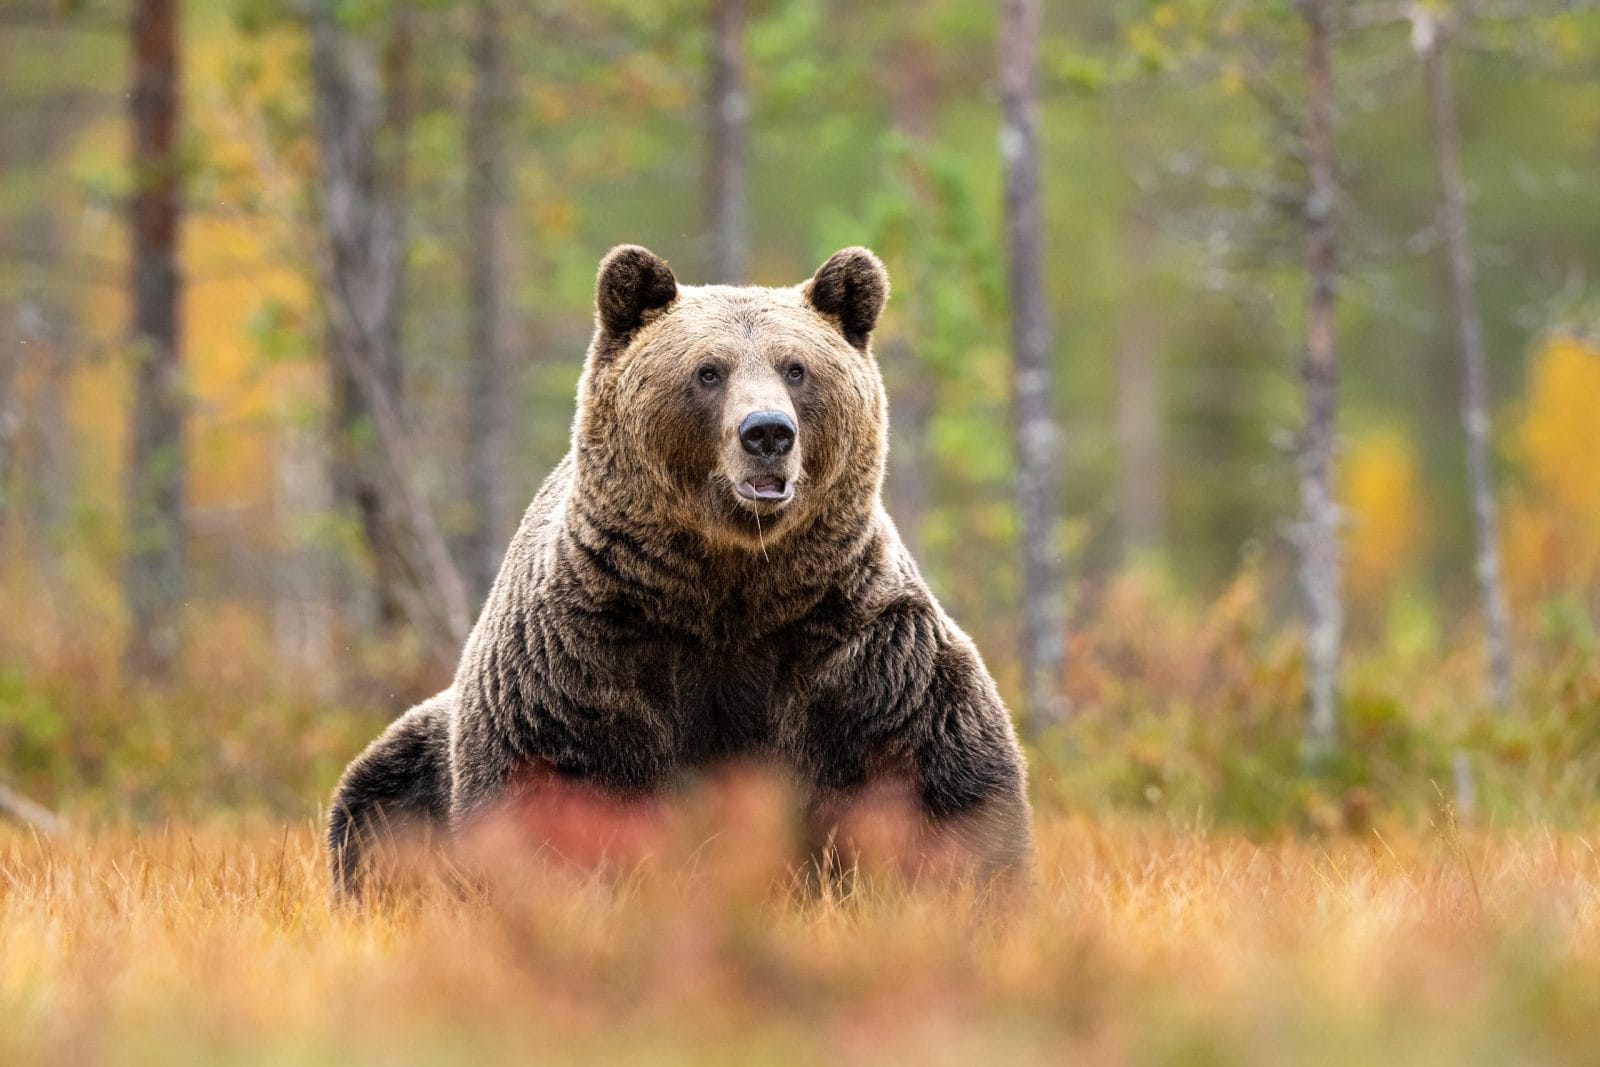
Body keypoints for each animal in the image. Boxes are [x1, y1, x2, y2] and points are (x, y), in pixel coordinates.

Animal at [327, 245, 1033, 898]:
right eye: (708, 371)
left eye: (796, 368)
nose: (768, 432)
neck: (727, 587)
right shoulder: (584, 657)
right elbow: (552, 791)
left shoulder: (857, 650)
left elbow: (939, 779)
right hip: (421, 753)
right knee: (376, 802)